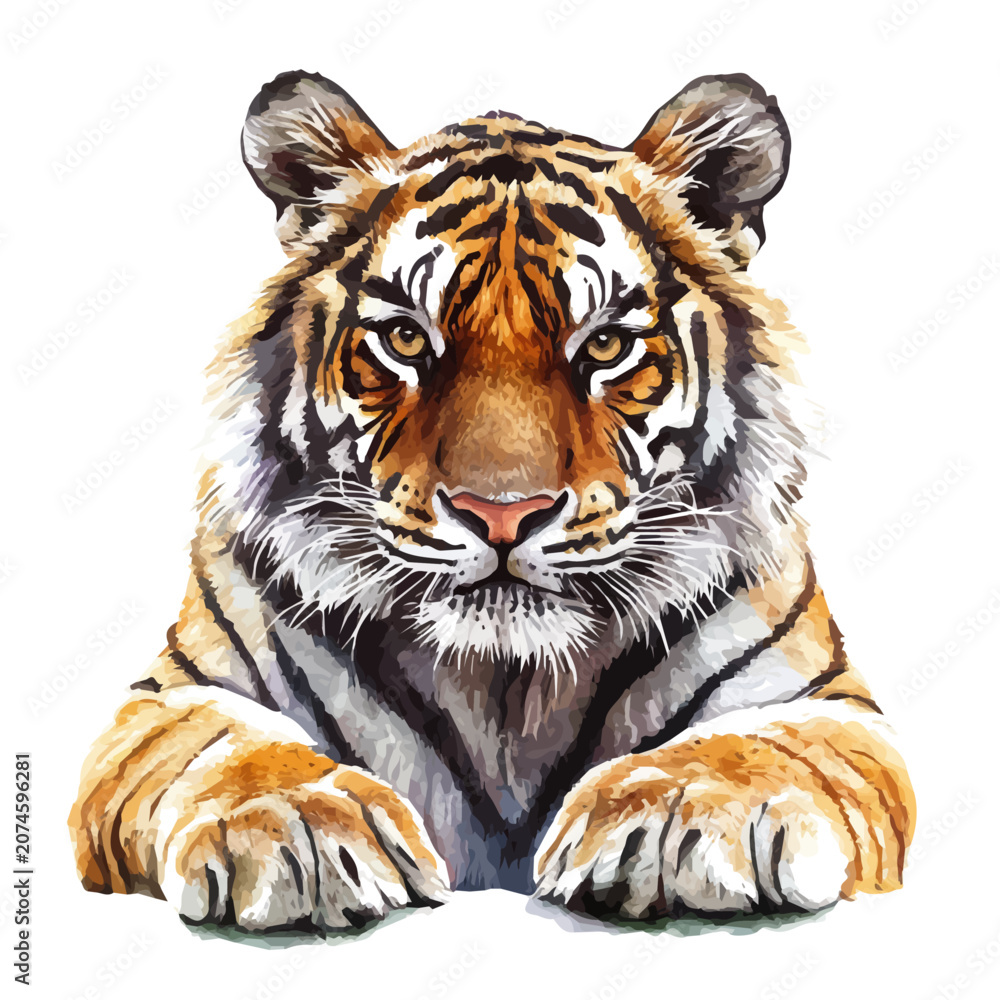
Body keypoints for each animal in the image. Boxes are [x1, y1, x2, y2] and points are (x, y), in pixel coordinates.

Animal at [69, 70, 914, 931]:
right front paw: (296, 823)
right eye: (407, 339)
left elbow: (760, 745)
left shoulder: (826, 704)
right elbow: (228, 748)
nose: (502, 512)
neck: (507, 686)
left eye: (604, 345)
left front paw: (678, 808)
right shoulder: (170, 697)